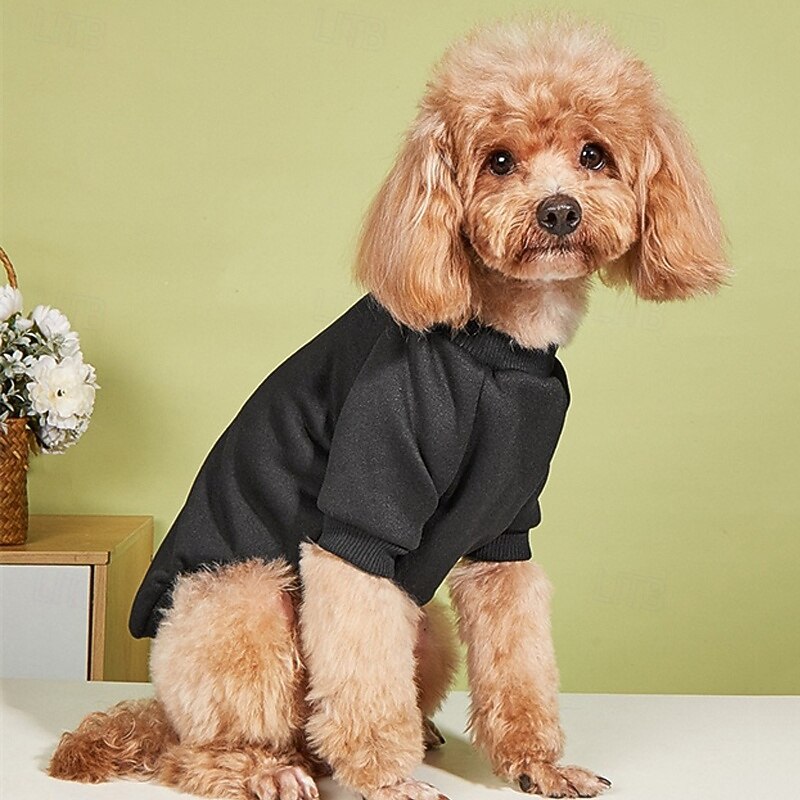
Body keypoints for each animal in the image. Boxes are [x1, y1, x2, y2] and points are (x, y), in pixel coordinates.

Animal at [49, 17, 727, 800]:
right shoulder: (362, 510)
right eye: (498, 161)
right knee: (195, 751)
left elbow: (520, 657)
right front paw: (383, 778)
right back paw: (264, 768)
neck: (497, 341)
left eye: (594, 155)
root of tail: (159, 704)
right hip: (244, 600)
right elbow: (361, 667)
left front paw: (538, 763)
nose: (559, 211)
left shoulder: (507, 532)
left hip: (425, 626)